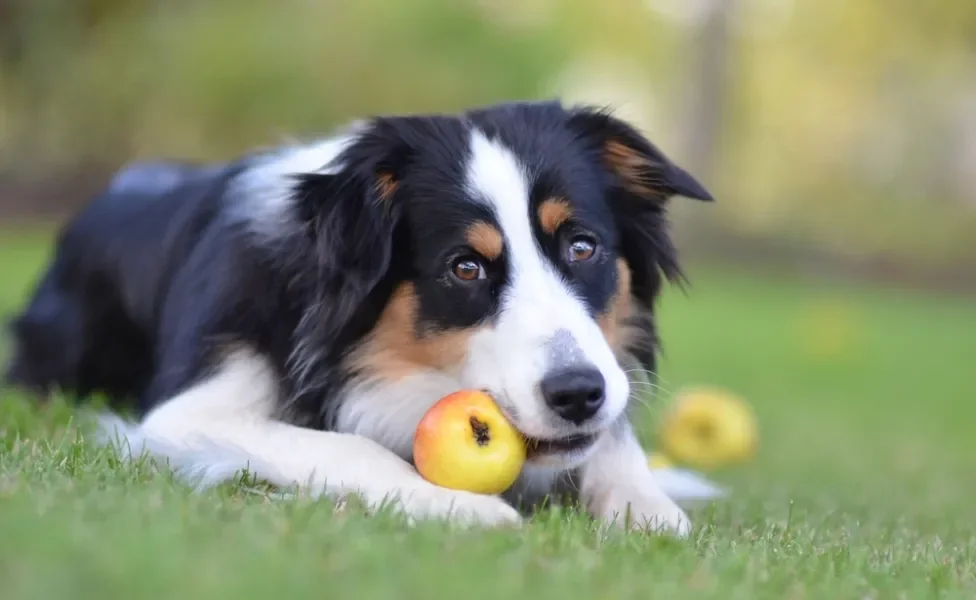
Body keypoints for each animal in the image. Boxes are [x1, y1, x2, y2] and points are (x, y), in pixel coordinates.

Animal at [3, 99, 712, 536]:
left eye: (582, 247)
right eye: (465, 268)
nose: (577, 394)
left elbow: (614, 443)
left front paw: (646, 504)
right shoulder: (185, 415)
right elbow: (348, 445)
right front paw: (456, 504)